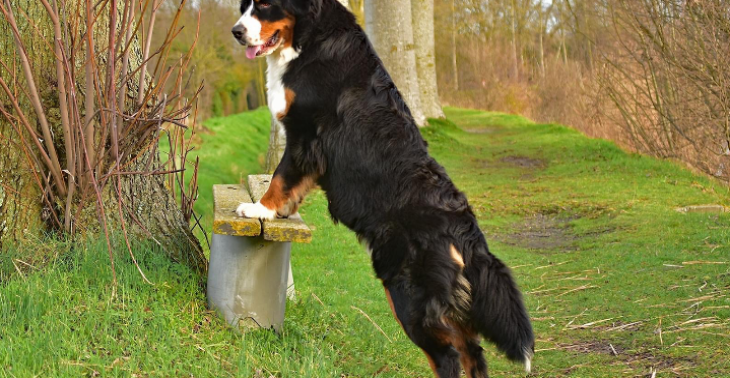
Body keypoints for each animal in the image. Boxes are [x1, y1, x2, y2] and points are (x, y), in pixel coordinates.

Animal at [230, 1, 532, 376]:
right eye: (244, 7)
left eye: (266, 5)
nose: (236, 32)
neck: (311, 38)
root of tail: (465, 230)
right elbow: (290, 182)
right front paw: (281, 211)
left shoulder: (306, 133)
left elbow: (281, 177)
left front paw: (260, 208)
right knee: (472, 352)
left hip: (408, 296)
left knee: (448, 355)